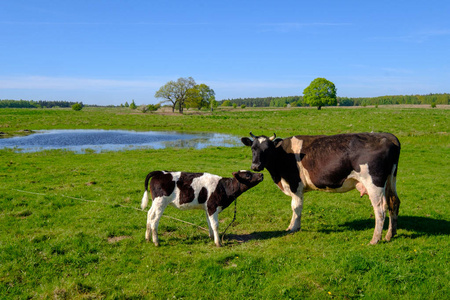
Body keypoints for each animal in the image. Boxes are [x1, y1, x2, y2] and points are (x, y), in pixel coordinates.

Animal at [243, 132, 400, 245]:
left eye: (267, 149)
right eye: (253, 148)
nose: (255, 166)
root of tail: (386, 136)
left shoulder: (295, 185)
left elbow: (296, 207)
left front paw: (293, 228)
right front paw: (293, 227)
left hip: (374, 183)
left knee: (380, 209)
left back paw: (375, 239)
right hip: (390, 180)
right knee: (394, 202)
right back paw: (389, 235)